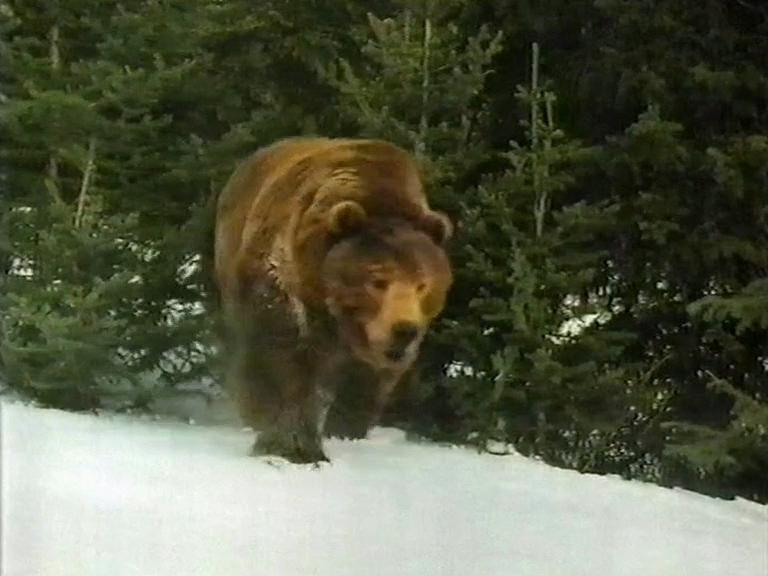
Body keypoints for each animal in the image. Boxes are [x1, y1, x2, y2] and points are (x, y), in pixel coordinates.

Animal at [213, 137, 453, 463]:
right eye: (378, 280)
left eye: (422, 285)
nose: (405, 329)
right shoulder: (284, 278)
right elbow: (280, 350)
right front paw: (291, 439)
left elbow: (367, 379)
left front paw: (344, 429)